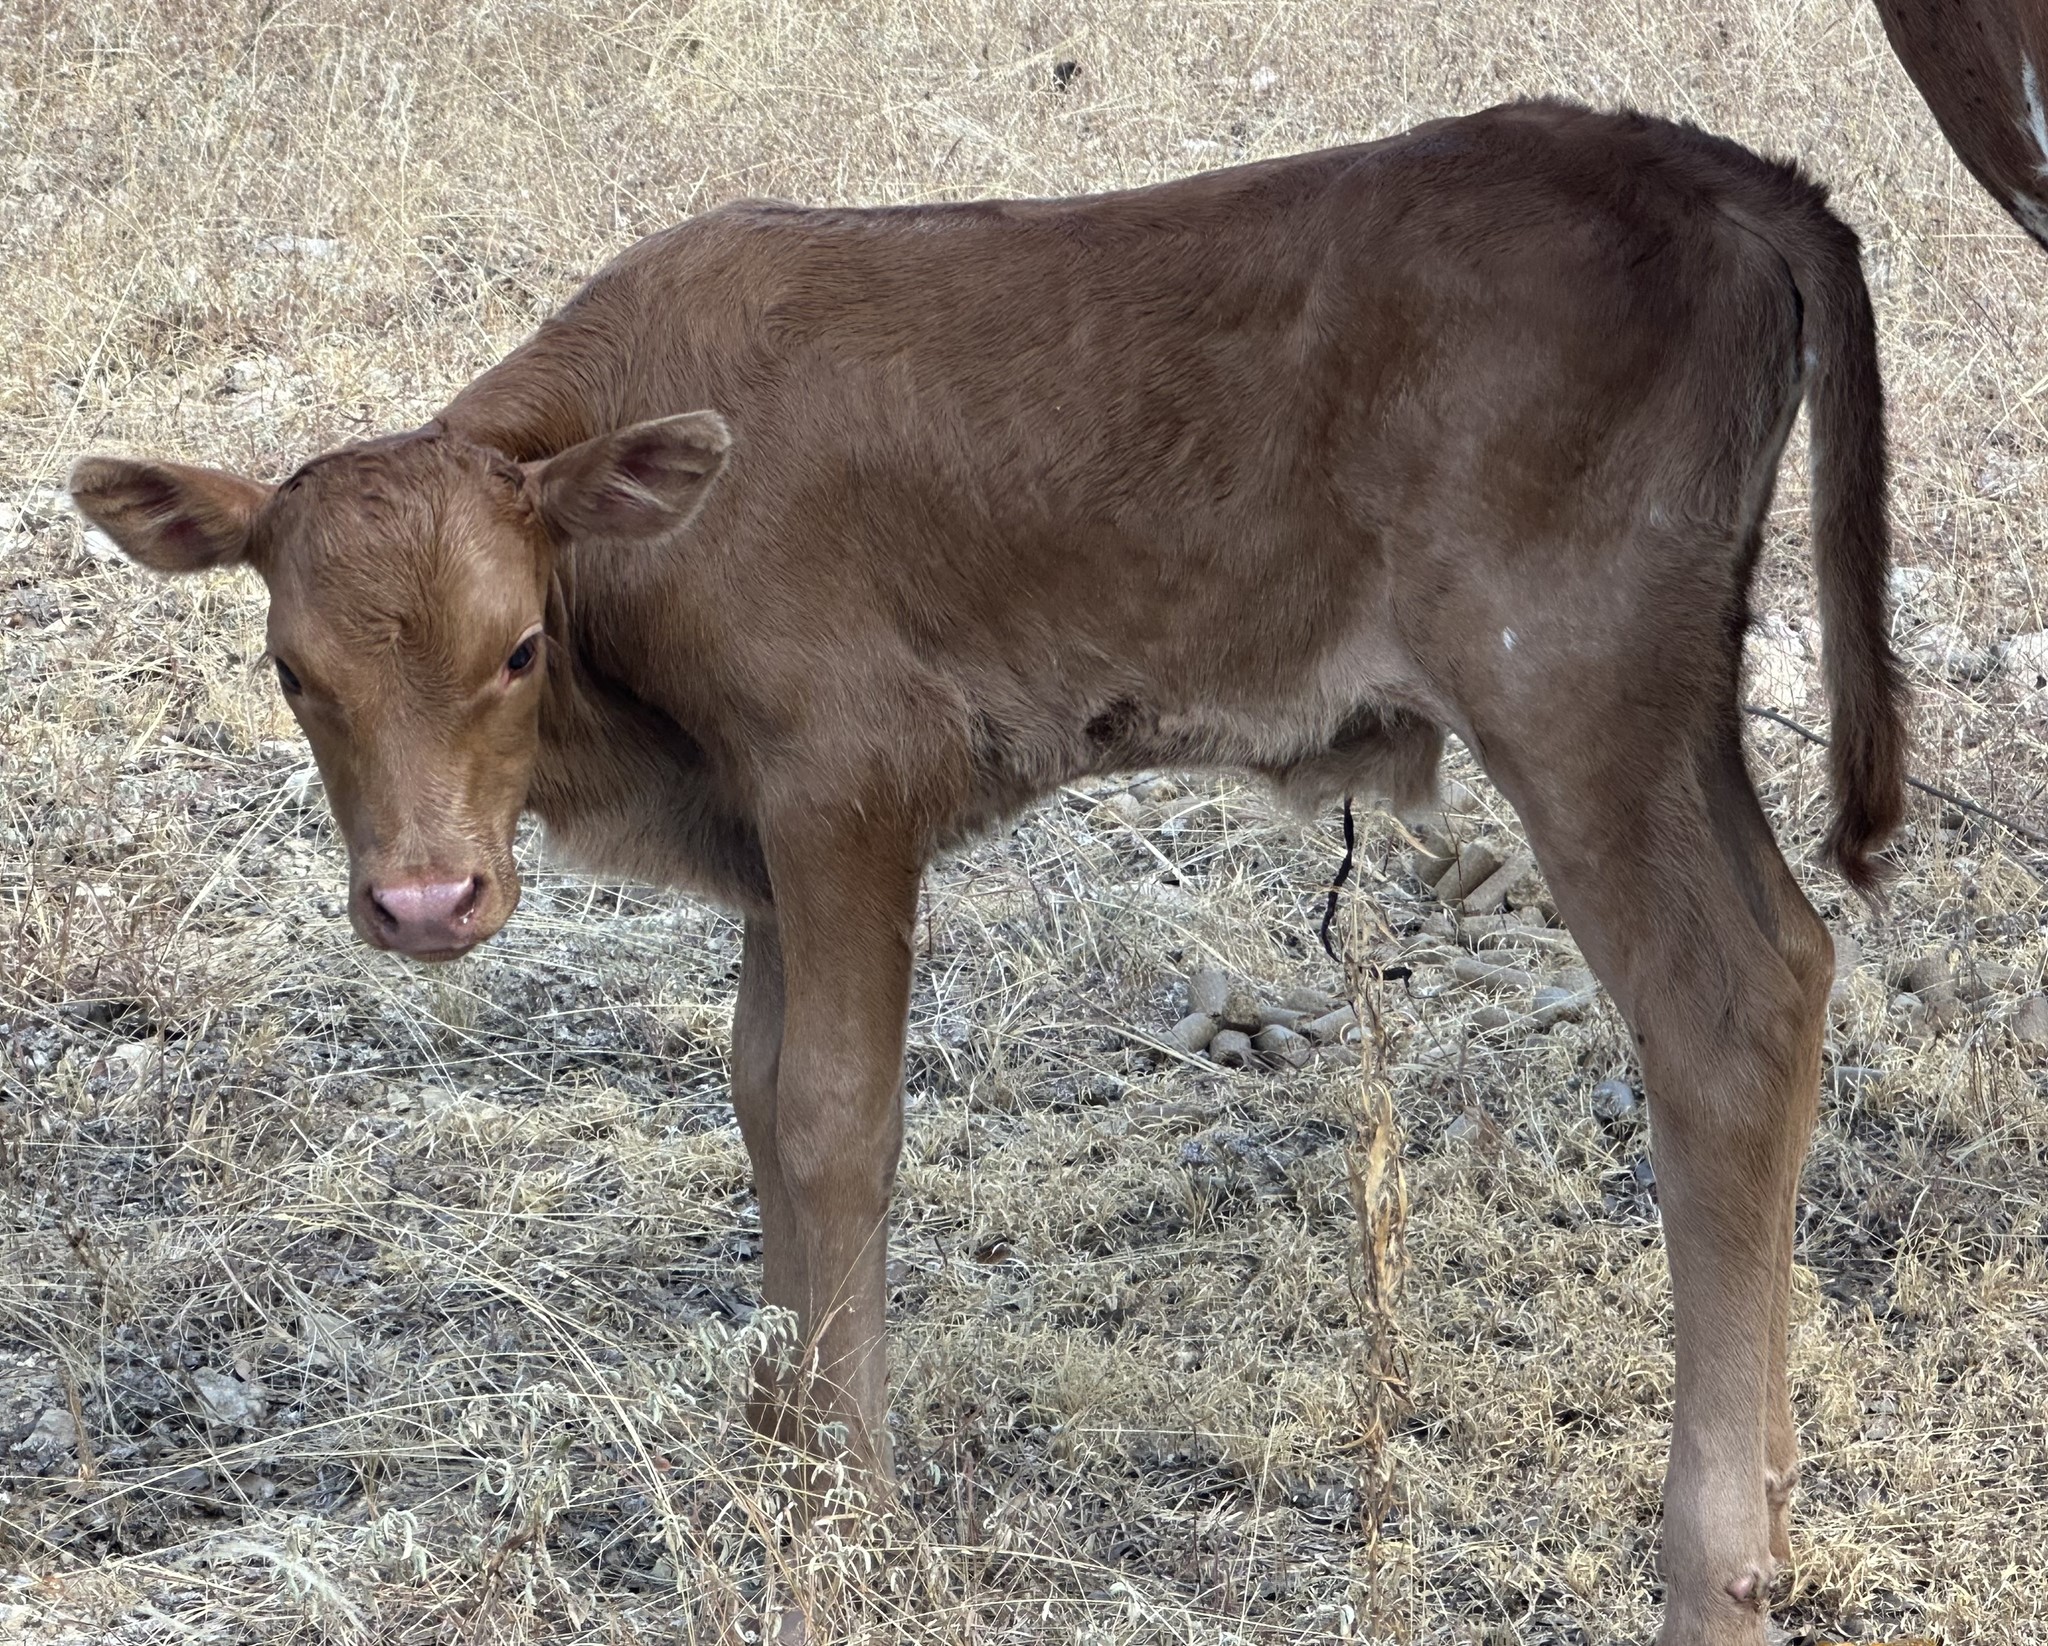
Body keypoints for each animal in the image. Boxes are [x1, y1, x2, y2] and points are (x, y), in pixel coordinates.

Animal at [70, 100, 1905, 1645]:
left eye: (516, 647)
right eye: (290, 670)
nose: (423, 903)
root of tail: (1715, 170)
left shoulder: (844, 781)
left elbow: (834, 1117)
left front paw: (843, 1506)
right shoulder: (767, 842)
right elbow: (757, 1089)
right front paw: (781, 1446)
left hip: (1576, 696)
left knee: (1725, 1008)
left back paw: (1713, 1563)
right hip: (1672, 710)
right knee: (1797, 960)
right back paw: (1778, 1508)